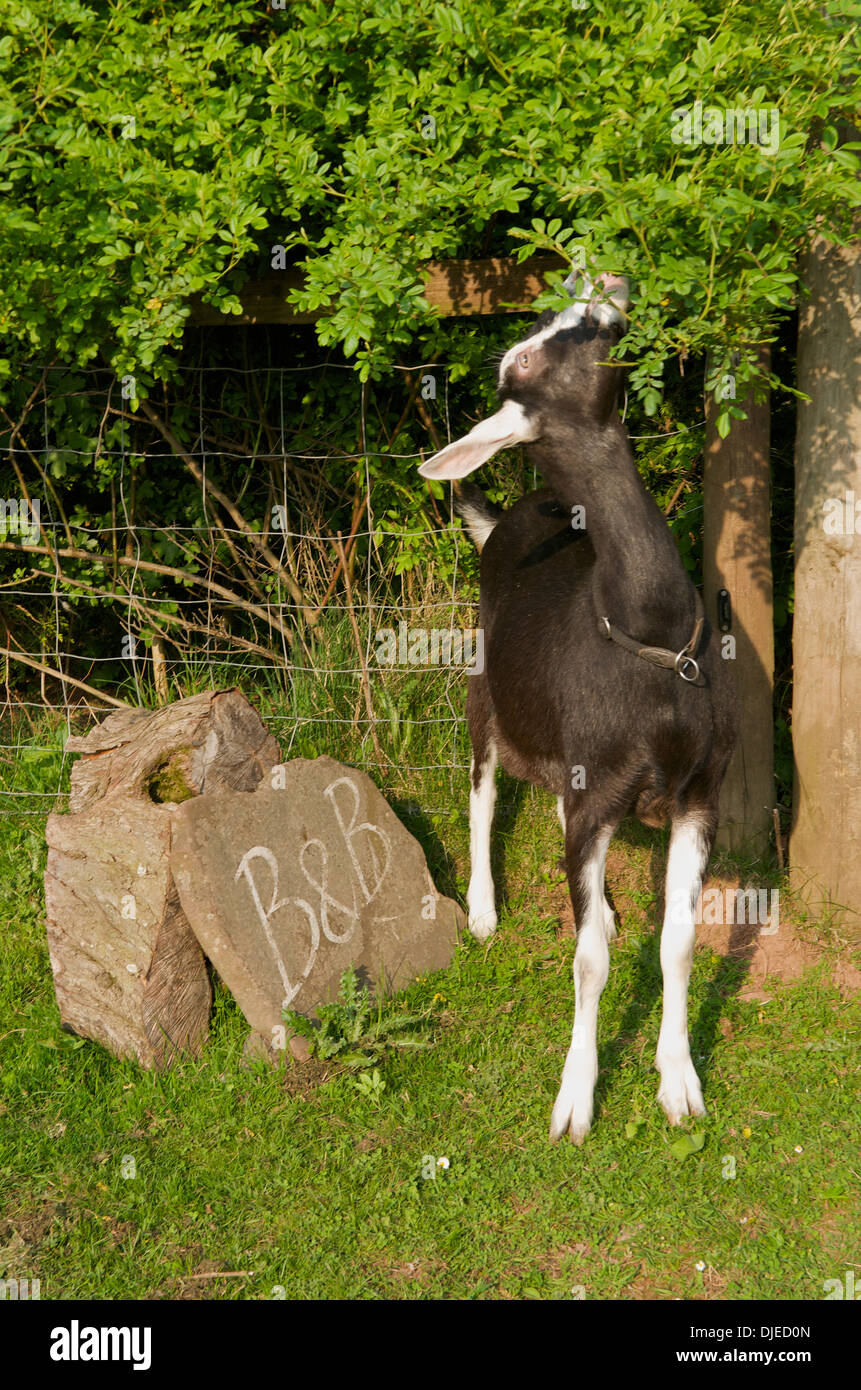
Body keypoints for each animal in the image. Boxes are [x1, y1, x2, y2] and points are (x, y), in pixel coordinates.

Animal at [417, 271, 737, 1143]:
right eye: (524, 358)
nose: (604, 286)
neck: (647, 636)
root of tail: (508, 518)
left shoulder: (700, 792)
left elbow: (680, 942)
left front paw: (679, 1082)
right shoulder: (596, 792)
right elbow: (587, 961)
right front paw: (574, 1099)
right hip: (481, 691)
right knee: (480, 789)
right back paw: (483, 910)